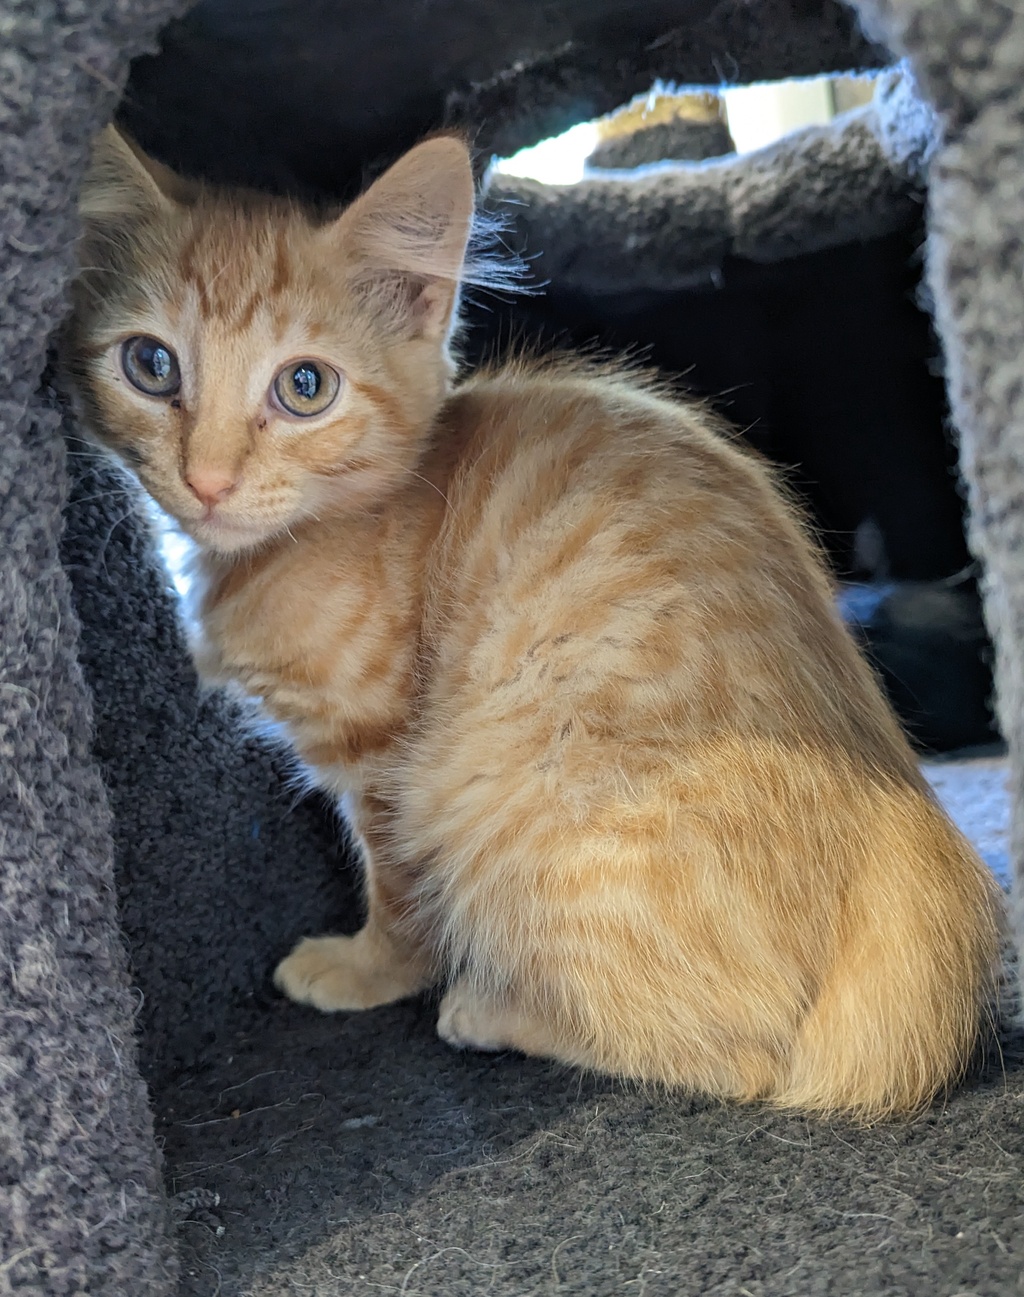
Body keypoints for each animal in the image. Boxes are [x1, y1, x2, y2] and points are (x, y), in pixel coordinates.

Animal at [66, 125, 1003, 1119]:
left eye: (305, 387)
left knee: (747, 1060)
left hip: (511, 803)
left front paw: (365, 970)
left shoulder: (384, 759)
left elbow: (398, 893)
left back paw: (494, 1010)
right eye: (151, 366)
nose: (206, 481)